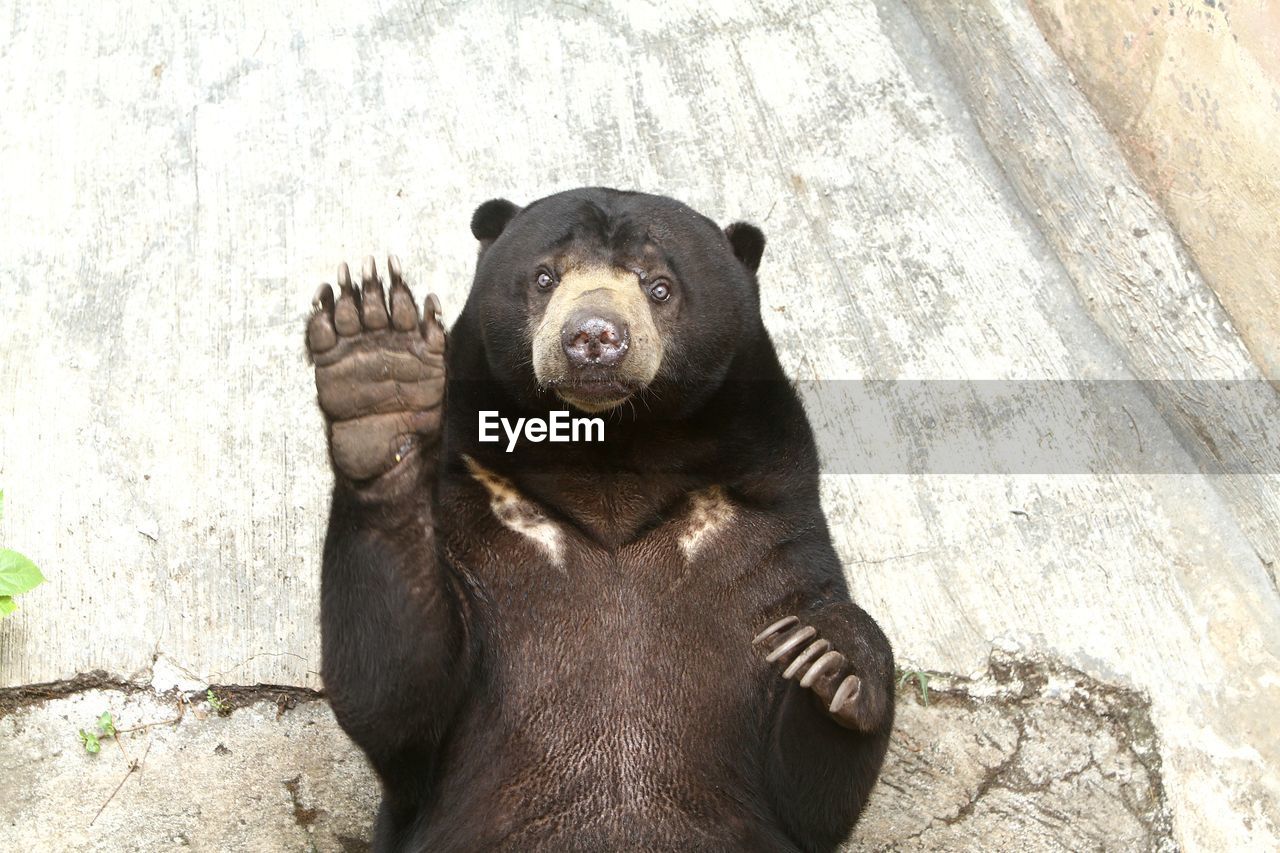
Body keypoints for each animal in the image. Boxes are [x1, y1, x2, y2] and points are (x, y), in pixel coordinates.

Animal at [304, 188, 896, 850]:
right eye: (545, 276)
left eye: (659, 285)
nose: (592, 337)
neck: (608, 460)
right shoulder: (476, 512)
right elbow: (398, 700)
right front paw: (377, 375)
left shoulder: (760, 529)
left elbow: (809, 800)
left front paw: (832, 647)